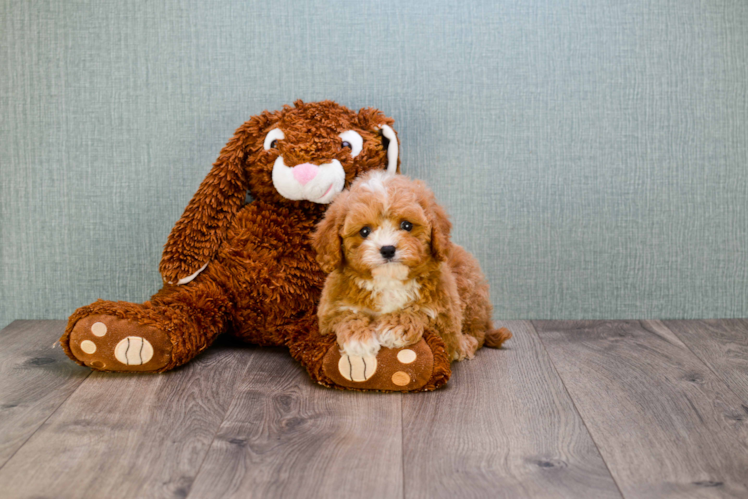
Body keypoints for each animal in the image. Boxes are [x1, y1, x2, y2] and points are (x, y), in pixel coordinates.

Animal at [312, 170, 512, 362]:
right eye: (364, 231)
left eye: (406, 225)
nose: (387, 249)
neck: (389, 280)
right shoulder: (329, 312)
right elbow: (346, 315)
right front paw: (358, 339)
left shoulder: (447, 320)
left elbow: (420, 311)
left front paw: (394, 326)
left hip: (470, 295)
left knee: (476, 335)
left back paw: (467, 343)